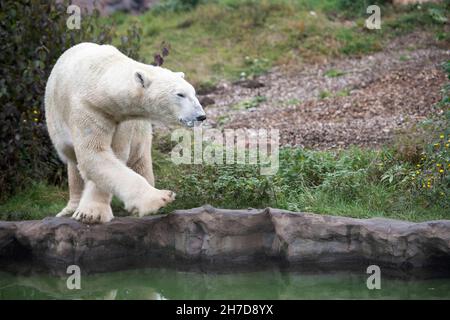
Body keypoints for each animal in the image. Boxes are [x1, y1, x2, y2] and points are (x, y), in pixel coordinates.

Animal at [44, 42, 207, 222]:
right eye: (180, 94)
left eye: (194, 92)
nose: (201, 116)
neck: (100, 78)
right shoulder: (88, 109)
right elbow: (94, 154)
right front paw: (159, 198)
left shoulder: (123, 120)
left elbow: (113, 155)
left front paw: (91, 212)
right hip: (56, 123)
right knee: (72, 160)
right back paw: (69, 208)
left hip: (140, 131)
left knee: (140, 159)